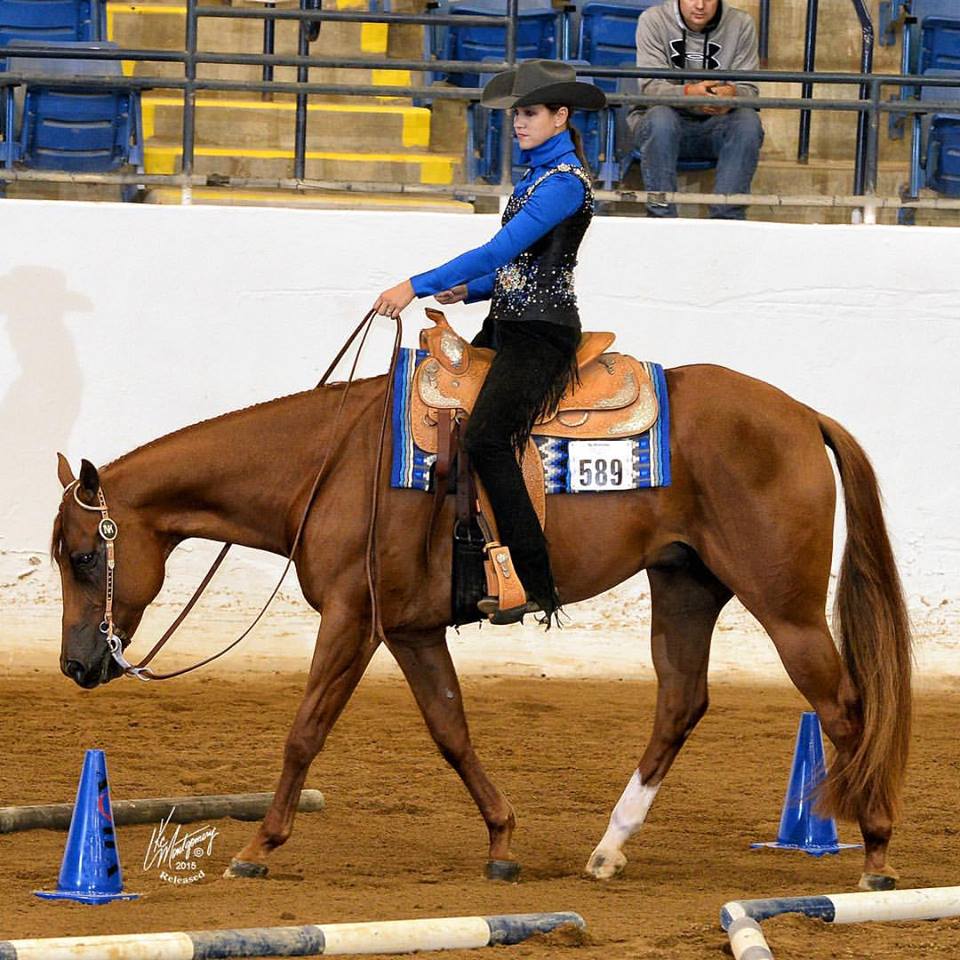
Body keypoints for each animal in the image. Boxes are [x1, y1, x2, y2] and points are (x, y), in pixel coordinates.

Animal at [48, 362, 912, 892]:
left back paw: (874, 850)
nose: (78, 666)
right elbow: (451, 730)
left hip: (786, 607)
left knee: (843, 709)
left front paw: (259, 848)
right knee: (681, 702)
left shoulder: (353, 621)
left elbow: (305, 731)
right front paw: (501, 841)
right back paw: (609, 849)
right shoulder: (411, 630)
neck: (331, 463)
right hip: (685, 586)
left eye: (85, 556)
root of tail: (802, 415)